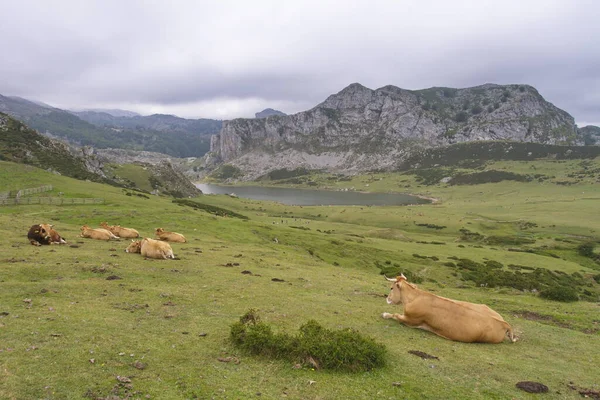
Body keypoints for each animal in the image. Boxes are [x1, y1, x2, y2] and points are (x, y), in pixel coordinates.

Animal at [382, 276, 512, 344]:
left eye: (391, 288)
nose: (387, 299)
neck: (415, 297)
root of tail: (505, 323)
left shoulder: (410, 320)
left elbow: (395, 315)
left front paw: (385, 314)